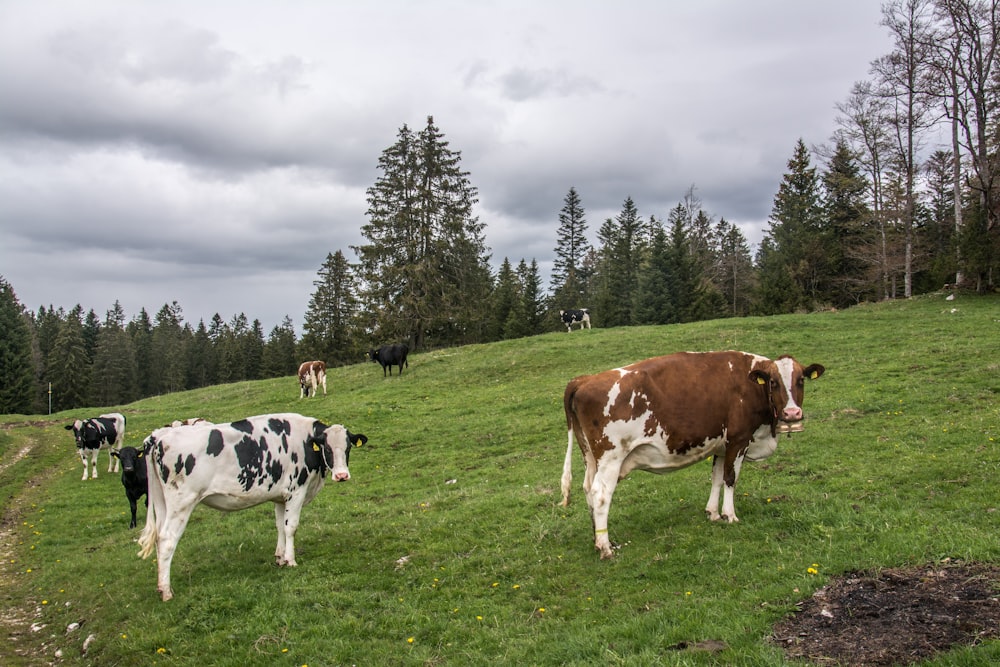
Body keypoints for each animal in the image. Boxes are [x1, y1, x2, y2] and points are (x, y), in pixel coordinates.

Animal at [135, 414, 366, 604]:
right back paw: (166, 591)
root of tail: (158, 436)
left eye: (347, 448)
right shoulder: (296, 491)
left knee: (159, 537)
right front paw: (291, 560)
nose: (342, 475)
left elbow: (280, 526)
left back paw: (161, 585)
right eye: (327, 448)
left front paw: (280, 557)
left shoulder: (280, 496)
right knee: (167, 540)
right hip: (182, 502)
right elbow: (291, 527)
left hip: (163, 504)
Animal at [560, 352, 824, 560]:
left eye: (800, 380)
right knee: (600, 494)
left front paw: (713, 513)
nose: (792, 413)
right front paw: (730, 515)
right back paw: (605, 547)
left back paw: (597, 538)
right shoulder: (738, 440)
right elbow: (730, 479)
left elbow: (717, 478)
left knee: (588, 489)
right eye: (774, 382)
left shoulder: (720, 445)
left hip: (591, 457)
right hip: (611, 457)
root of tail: (585, 379)